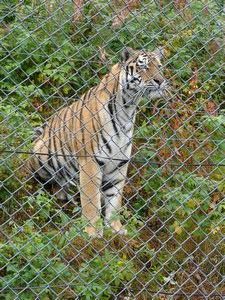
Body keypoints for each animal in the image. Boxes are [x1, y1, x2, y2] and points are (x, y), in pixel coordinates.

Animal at [28, 47, 169, 237]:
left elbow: (115, 201)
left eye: (159, 66)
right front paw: (93, 232)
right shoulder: (90, 162)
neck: (127, 109)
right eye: (143, 67)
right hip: (41, 154)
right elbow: (90, 201)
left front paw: (116, 228)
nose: (160, 81)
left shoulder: (119, 164)